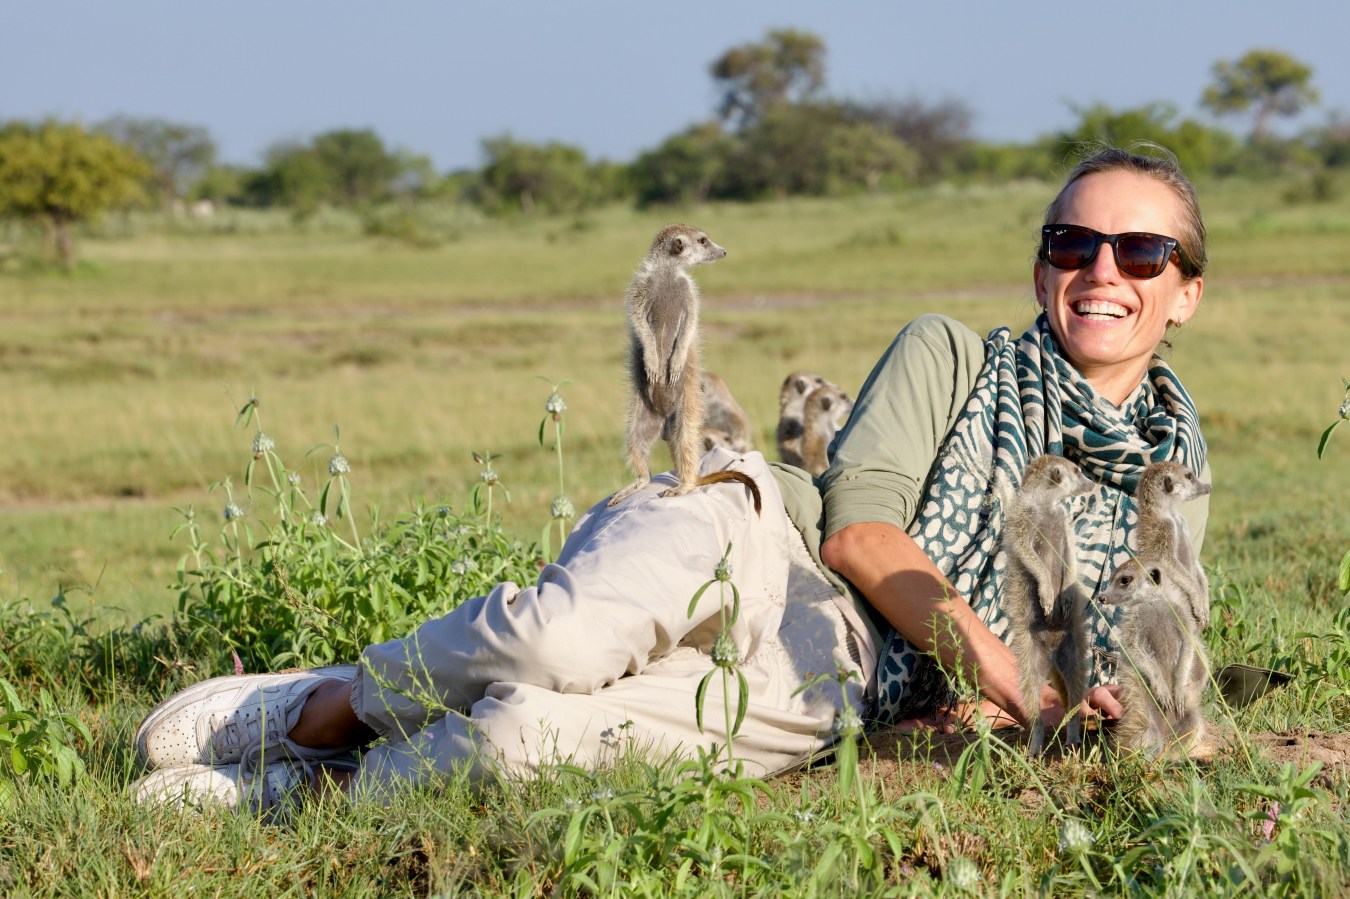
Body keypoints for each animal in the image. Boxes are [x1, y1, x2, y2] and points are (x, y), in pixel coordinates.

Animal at [608, 224, 761, 514]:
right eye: (702, 241)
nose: (724, 251)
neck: (668, 274)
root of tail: (663, 421)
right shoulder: (640, 287)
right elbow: (638, 319)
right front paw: (652, 360)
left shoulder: (689, 292)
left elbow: (690, 322)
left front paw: (676, 360)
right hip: (641, 416)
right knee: (636, 443)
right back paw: (639, 481)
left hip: (687, 408)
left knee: (686, 442)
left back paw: (685, 485)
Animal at [1001, 454, 1096, 756]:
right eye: (1077, 471)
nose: (1092, 483)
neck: (1046, 507)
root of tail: (1052, 654)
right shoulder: (1021, 523)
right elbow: (1028, 555)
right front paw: (1046, 590)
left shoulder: (1064, 524)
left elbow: (1071, 556)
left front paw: (1065, 595)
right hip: (1029, 653)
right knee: (1031, 691)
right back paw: (1035, 743)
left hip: (1074, 647)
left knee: (1075, 689)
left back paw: (1073, 736)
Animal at [1097, 557, 1211, 761]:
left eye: (1125, 580)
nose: (1101, 598)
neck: (1154, 602)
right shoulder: (1132, 623)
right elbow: (1134, 648)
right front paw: (1162, 688)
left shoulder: (1182, 617)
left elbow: (1188, 647)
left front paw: (1179, 689)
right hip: (1140, 711)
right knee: (1141, 733)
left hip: (1190, 717)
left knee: (1187, 731)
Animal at [1133, 460, 1211, 630]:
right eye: (1189, 476)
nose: (1208, 486)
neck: (1170, 514)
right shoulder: (1163, 530)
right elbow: (1166, 561)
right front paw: (1199, 601)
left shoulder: (1183, 523)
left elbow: (1195, 562)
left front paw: (1205, 601)